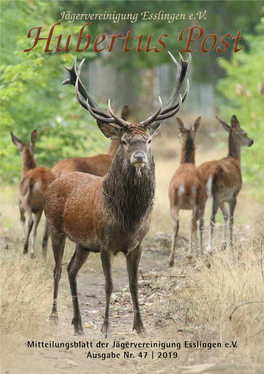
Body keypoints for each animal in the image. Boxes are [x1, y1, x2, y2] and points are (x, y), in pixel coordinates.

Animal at [44, 51, 191, 336]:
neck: (129, 218)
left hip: (83, 243)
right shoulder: (105, 243)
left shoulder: (136, 244)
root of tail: (53, 182)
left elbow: (134, 285)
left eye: (148, 141)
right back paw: (54, 316)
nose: (139, 157)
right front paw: (105, 328)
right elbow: (109, 285)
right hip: (55, 227)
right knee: (56, 269)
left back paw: (78, 324)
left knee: (71, 270)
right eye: (124, 141)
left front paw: (140, 327)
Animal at [168, 117, 207, 266]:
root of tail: (186, 184)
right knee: (192, 223)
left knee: (176, 224)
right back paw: (191, 255)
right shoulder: (203, 204)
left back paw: (171, 260)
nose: (178, 138)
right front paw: (199, 253)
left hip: (173, 203)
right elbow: (199, 225)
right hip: (197, 202)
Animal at [199, 115, 253, 253]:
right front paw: (231, 244)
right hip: (216, 192)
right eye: (245, 133)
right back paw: (209, 248)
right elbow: (231, 219)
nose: (251, 141)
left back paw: (199, 248)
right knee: (211, 218)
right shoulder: (233, 195)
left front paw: (224, 244)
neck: (235, 160)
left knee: (199, 219)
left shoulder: (223, 199)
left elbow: (225, 216)